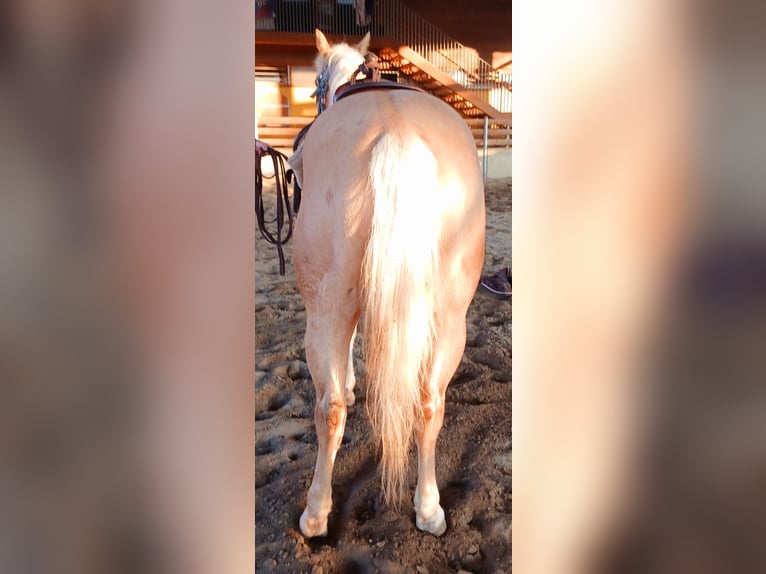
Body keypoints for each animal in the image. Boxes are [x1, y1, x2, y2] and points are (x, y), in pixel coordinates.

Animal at [289, 29, 485, 539]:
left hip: (324, 310)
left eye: (316, 84)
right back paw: (429, 508)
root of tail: (395, 134)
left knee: (330, 407)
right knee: (430, 403)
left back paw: (315, 513)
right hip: (450, 318)